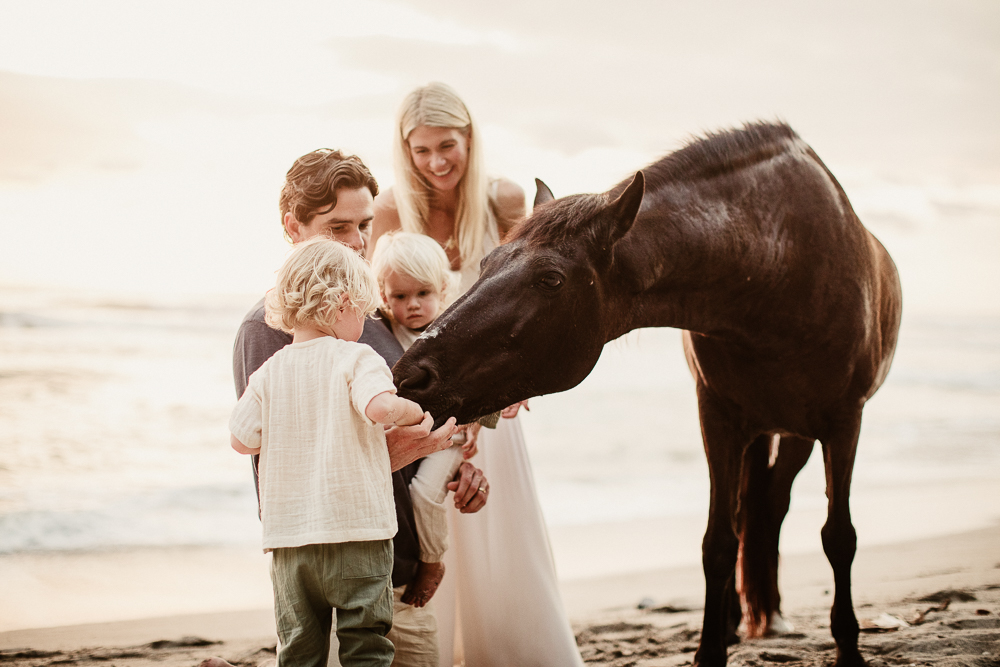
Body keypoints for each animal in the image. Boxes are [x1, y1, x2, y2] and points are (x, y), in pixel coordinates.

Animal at [394, 122, 904, 664]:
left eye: (550, 278)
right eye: (488, 261)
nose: (409, 376)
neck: (778, 269)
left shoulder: (843, 423)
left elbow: (839, 537)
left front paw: (849, 649)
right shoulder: (718, 419)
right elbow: (719, 541)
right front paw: (710, 650)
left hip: (798, 435)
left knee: (773, 504)